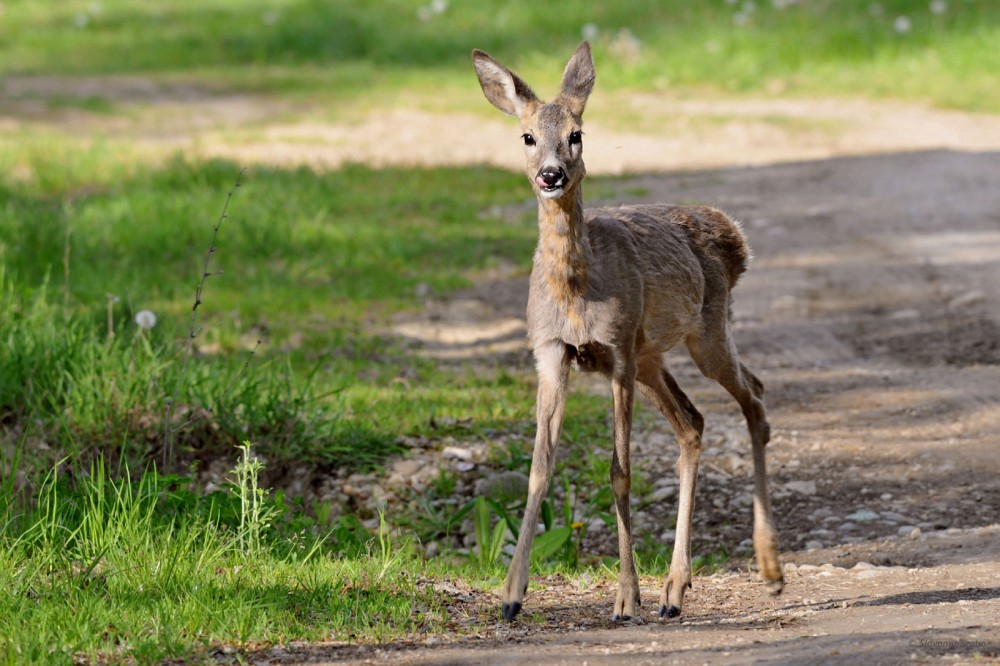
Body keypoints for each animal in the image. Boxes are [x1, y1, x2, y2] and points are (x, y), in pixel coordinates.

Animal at [472, 42, 784, 624]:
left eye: (577, 133)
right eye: (527, 137)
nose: (551, 174)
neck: (577, 292)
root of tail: (734, 237)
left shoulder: (616, 350)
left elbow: (620, 470)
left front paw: (624, 598)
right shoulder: (550, 352)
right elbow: (539, 468)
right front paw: (511, 595)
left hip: (703, 333)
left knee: (754, 397)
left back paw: (769, 570)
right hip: (652, 359)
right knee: (693, 422)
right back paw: (675, 591)